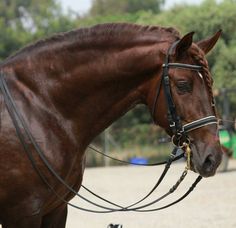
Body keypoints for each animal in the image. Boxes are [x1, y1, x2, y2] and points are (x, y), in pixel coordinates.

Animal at [0, 23, 221, 226]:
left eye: (210, 83)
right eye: (183, 85)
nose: (213, 158)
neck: (39, 106)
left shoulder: (56, 209)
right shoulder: (24, 213)